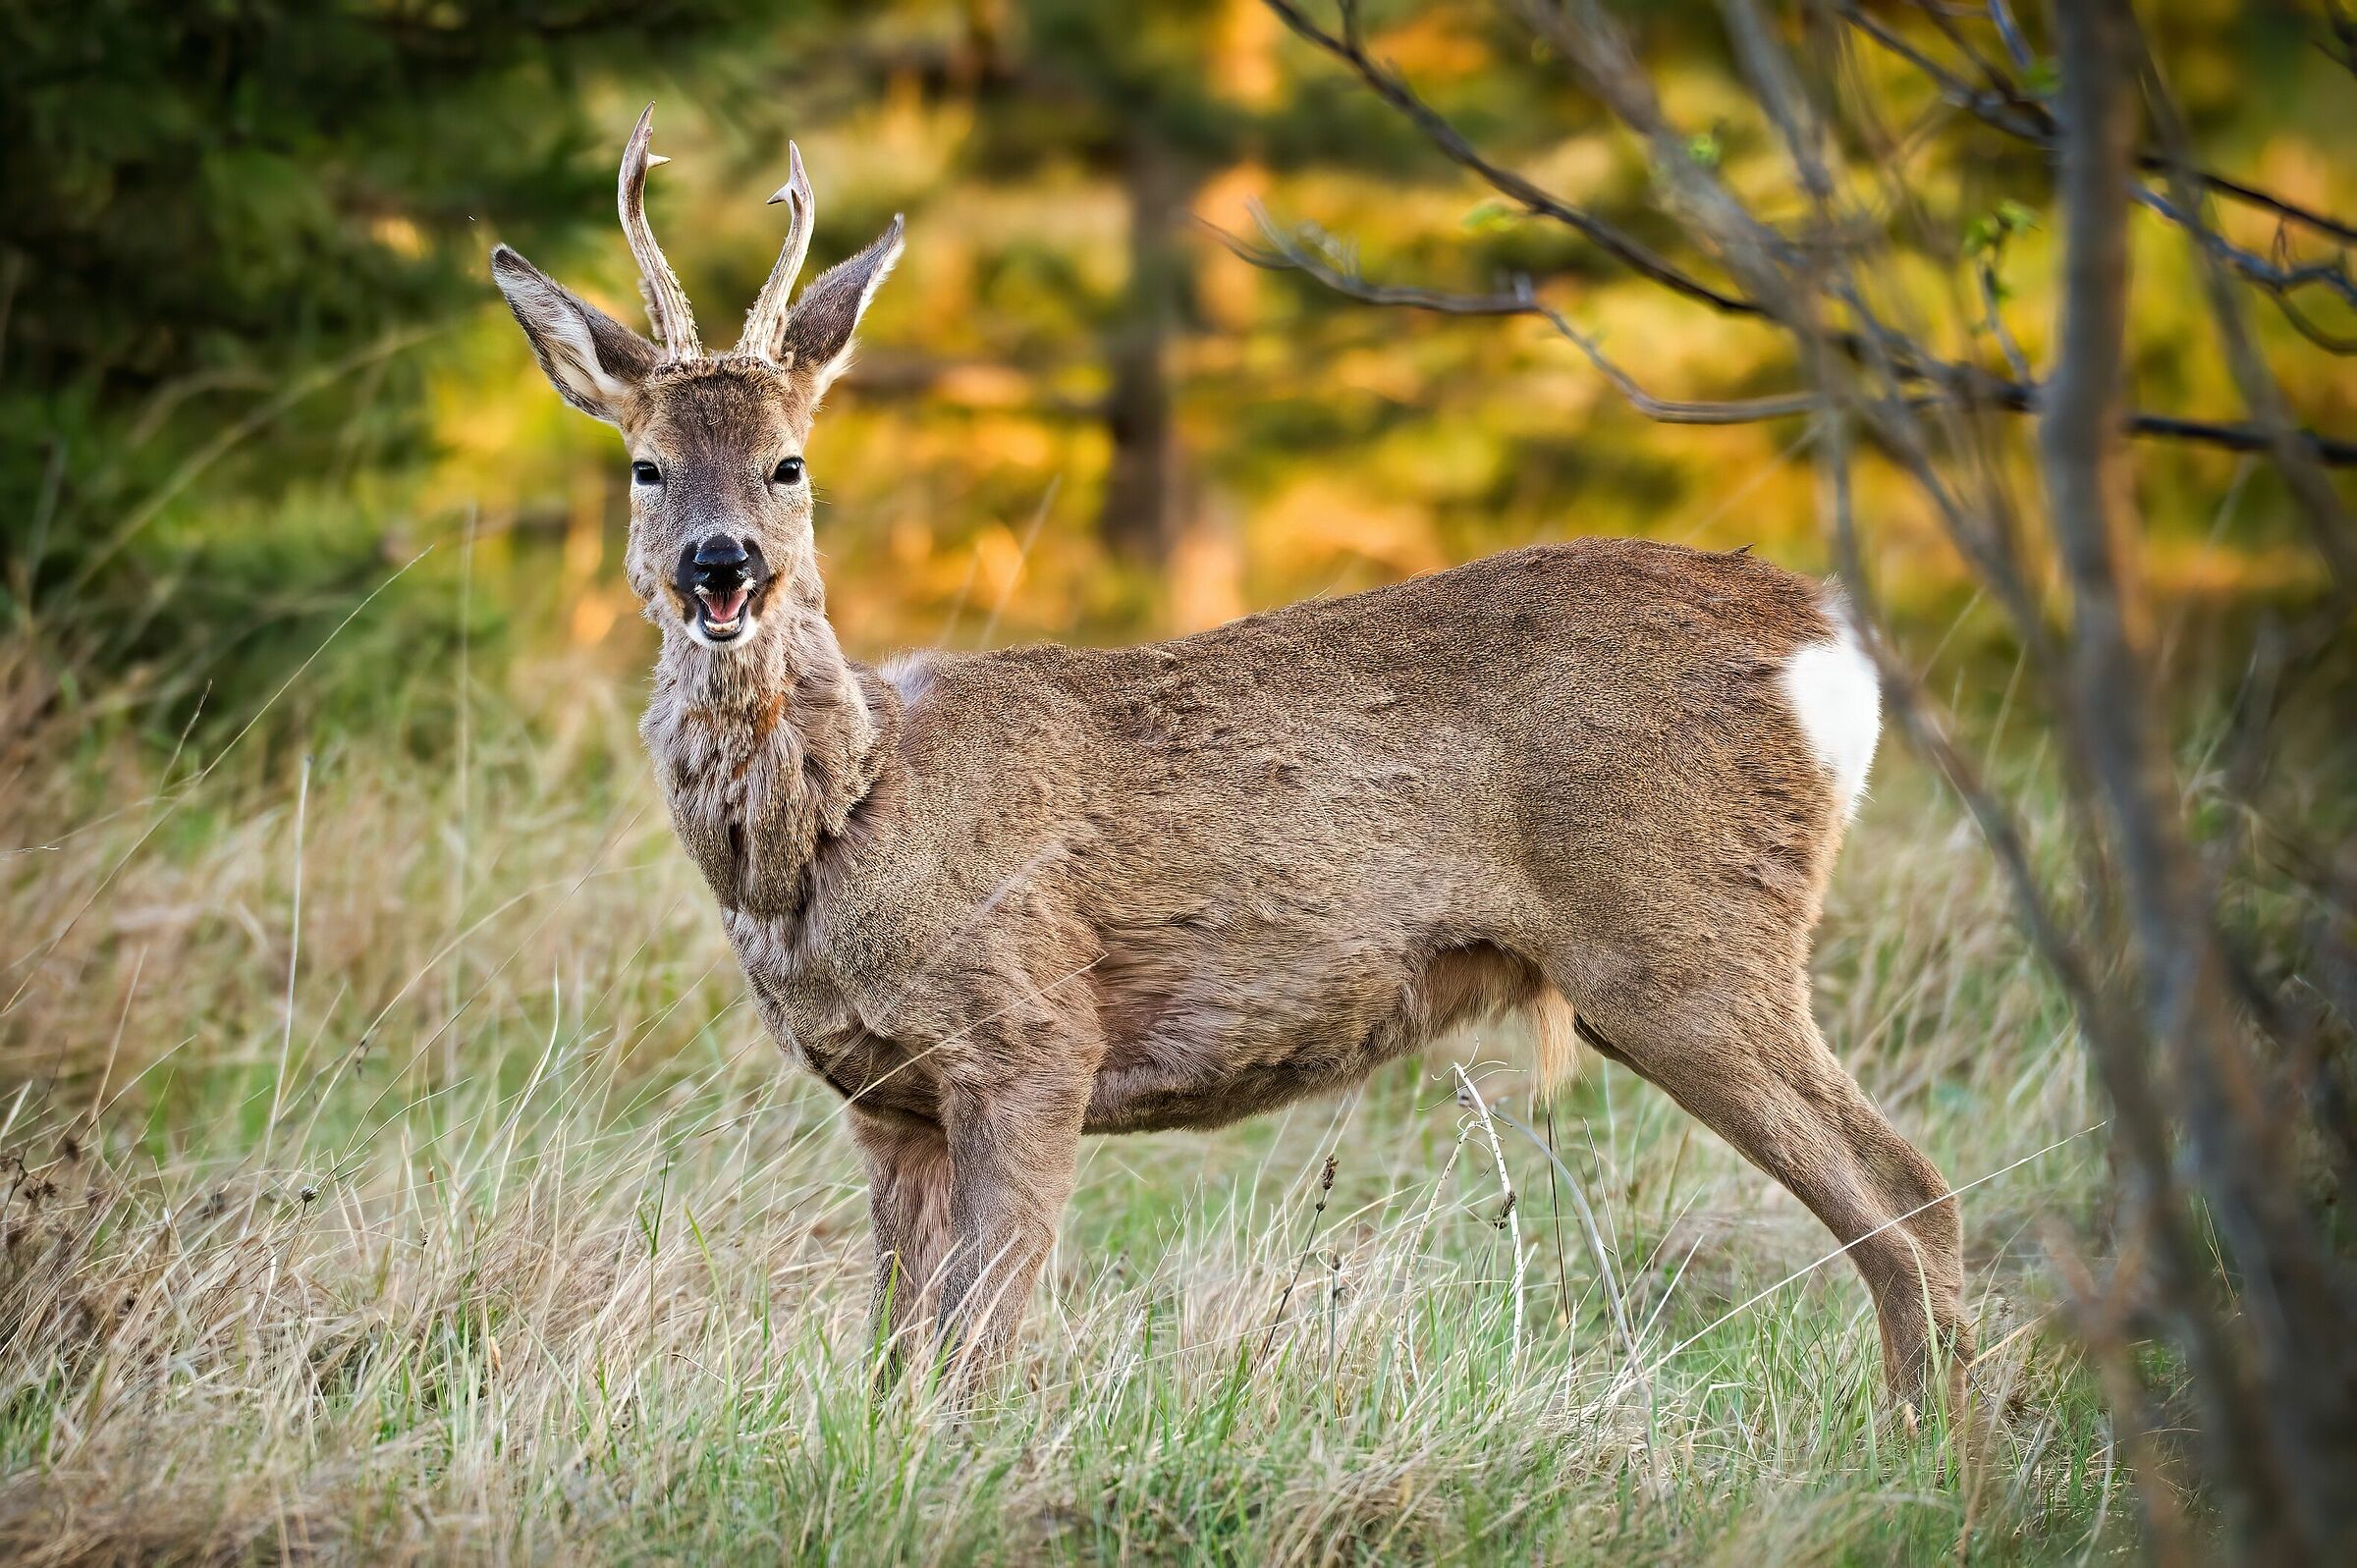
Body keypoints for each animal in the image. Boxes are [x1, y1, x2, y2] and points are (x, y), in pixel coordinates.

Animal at [491, 107, 1971, 1407]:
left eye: (790, 463)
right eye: (645, 466)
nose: (721, 563)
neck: (849, 818)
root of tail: (1827, 643)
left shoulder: (1034, 1036)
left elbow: (979, 1349)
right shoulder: (884, 1096)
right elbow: (896, 1357)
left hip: (1685, 935)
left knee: (1909, 1200)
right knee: (1913, 1200)